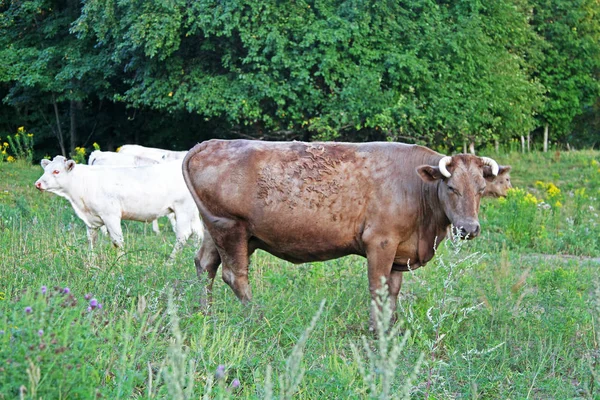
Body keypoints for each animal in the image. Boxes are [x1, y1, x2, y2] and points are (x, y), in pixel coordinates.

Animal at [35, 155, 204, 258]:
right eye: (45, 169)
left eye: (56, 171)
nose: (38, 183)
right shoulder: (91, 220)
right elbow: (92, 240)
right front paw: (91, 260)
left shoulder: (111, 215)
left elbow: (117, 241)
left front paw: (120, 262)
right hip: (193, 212)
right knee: (198, 233)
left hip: (183, 209)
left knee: (183, 235)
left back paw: (170, 261)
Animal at [183, 140, 502, 328]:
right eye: (451, 187)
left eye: (481, 189)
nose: (469, 228)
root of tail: (211, 143)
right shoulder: (380, 242)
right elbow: (377, 288)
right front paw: (376, 331)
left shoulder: (399, 251)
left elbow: (393, 291)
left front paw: (390, 326)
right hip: (230, 228)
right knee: (234, 275)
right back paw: (259, 317)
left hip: (216, 229)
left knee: (206, 264)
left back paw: (205, 314)